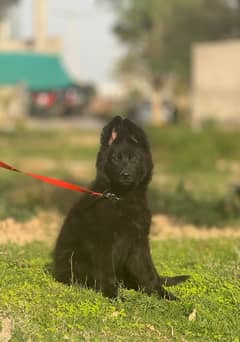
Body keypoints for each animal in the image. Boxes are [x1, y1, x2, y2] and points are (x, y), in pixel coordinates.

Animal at [53, 117, 188, 300]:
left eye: (134, 159)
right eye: (115, 159)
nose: (125, 175)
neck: (122, 198)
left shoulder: (139, 243)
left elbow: (148, 273)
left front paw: (162, 294)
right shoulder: (103, 243)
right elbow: (106, 272)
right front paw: (112, 295)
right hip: (74, 261)